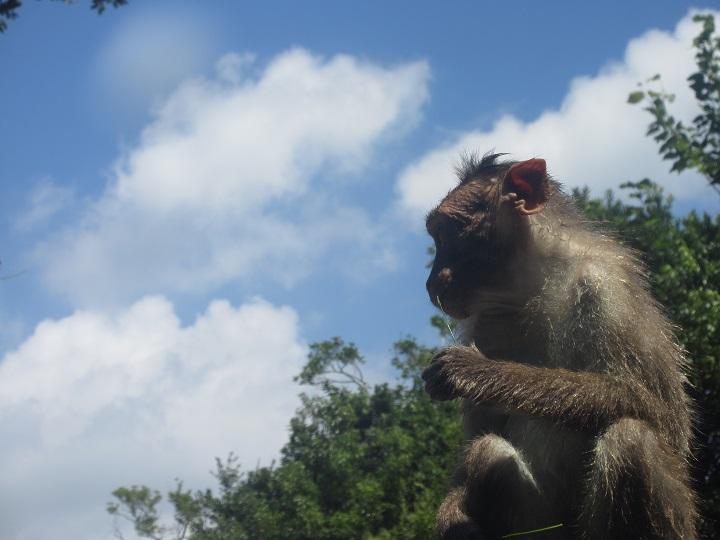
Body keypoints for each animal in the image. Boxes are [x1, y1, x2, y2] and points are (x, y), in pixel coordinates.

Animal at [422, 153, 696, 540]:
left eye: (446, 233)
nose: (431, 283)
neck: (534, 284)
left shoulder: (606, 287)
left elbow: (664, 417)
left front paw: (476, 372)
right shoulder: (484, 321)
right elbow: (475, 441)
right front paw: (453, 517)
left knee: (631, 441)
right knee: (487, 453)